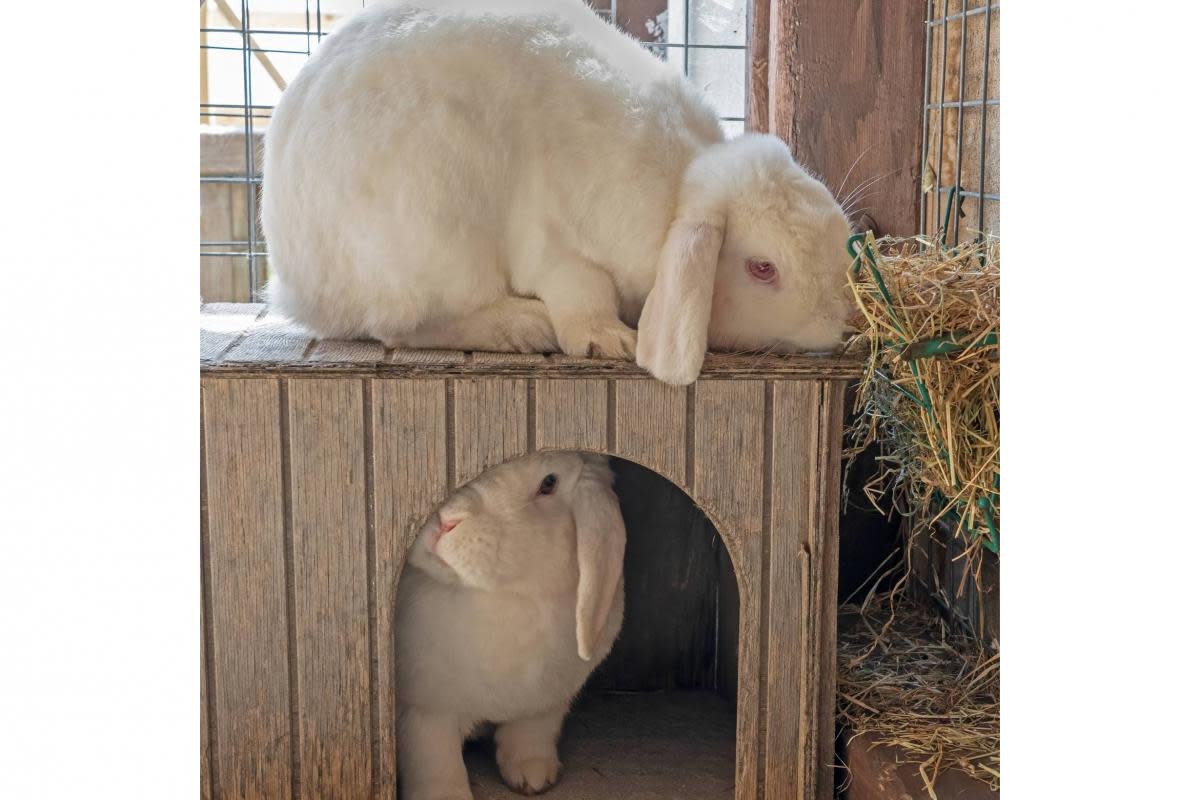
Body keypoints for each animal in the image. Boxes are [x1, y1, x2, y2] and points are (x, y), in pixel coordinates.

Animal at [260, 0, 854, 388]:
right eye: (763, 269)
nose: (839, 325)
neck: (677, 194)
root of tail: (296, 284)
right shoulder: (555, 241)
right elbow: (581, 291)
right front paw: (608, 340)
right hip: (431, 239)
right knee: (403, 328)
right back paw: (523, 327)